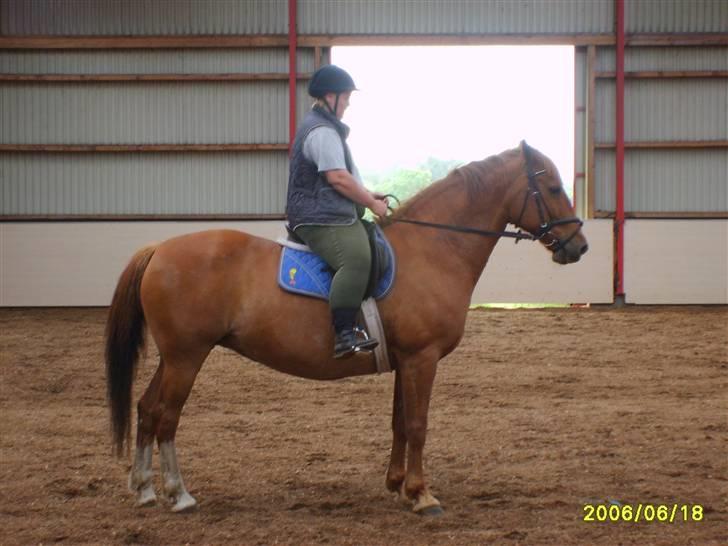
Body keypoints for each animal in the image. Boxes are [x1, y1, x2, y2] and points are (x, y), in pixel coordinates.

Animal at [105, 140, 588, 516]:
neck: (433, 247)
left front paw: (398, 486)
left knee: (146, 409)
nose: (578, 246)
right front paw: (422, 494)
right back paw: (179, 494)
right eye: (552, 187)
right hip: (187, 357)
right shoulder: (423, 358)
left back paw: (144, 489)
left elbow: (399, 422)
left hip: (173, 358)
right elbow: (418, 424)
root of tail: (159, 248)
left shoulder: (406, 361)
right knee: (167, 416)